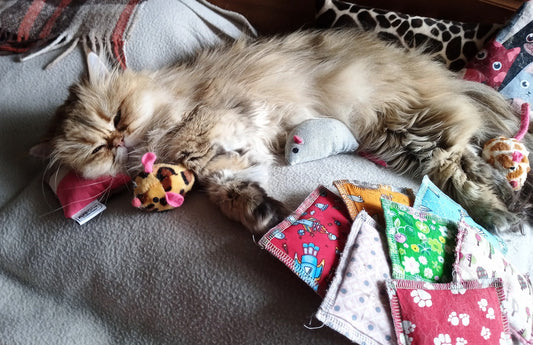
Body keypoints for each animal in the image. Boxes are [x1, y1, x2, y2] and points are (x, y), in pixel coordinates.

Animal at [40, 28, 528, 234]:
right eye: (97, 149)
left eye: (118, 117)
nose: (118, 141)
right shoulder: (237, 160)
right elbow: (229, 186)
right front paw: (258, 211)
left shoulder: (218, 114)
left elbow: (204, 150)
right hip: (404, 142)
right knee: (466, 164)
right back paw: (506, 199)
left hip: (414, 127)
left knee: (464, 160)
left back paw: (502, 213)